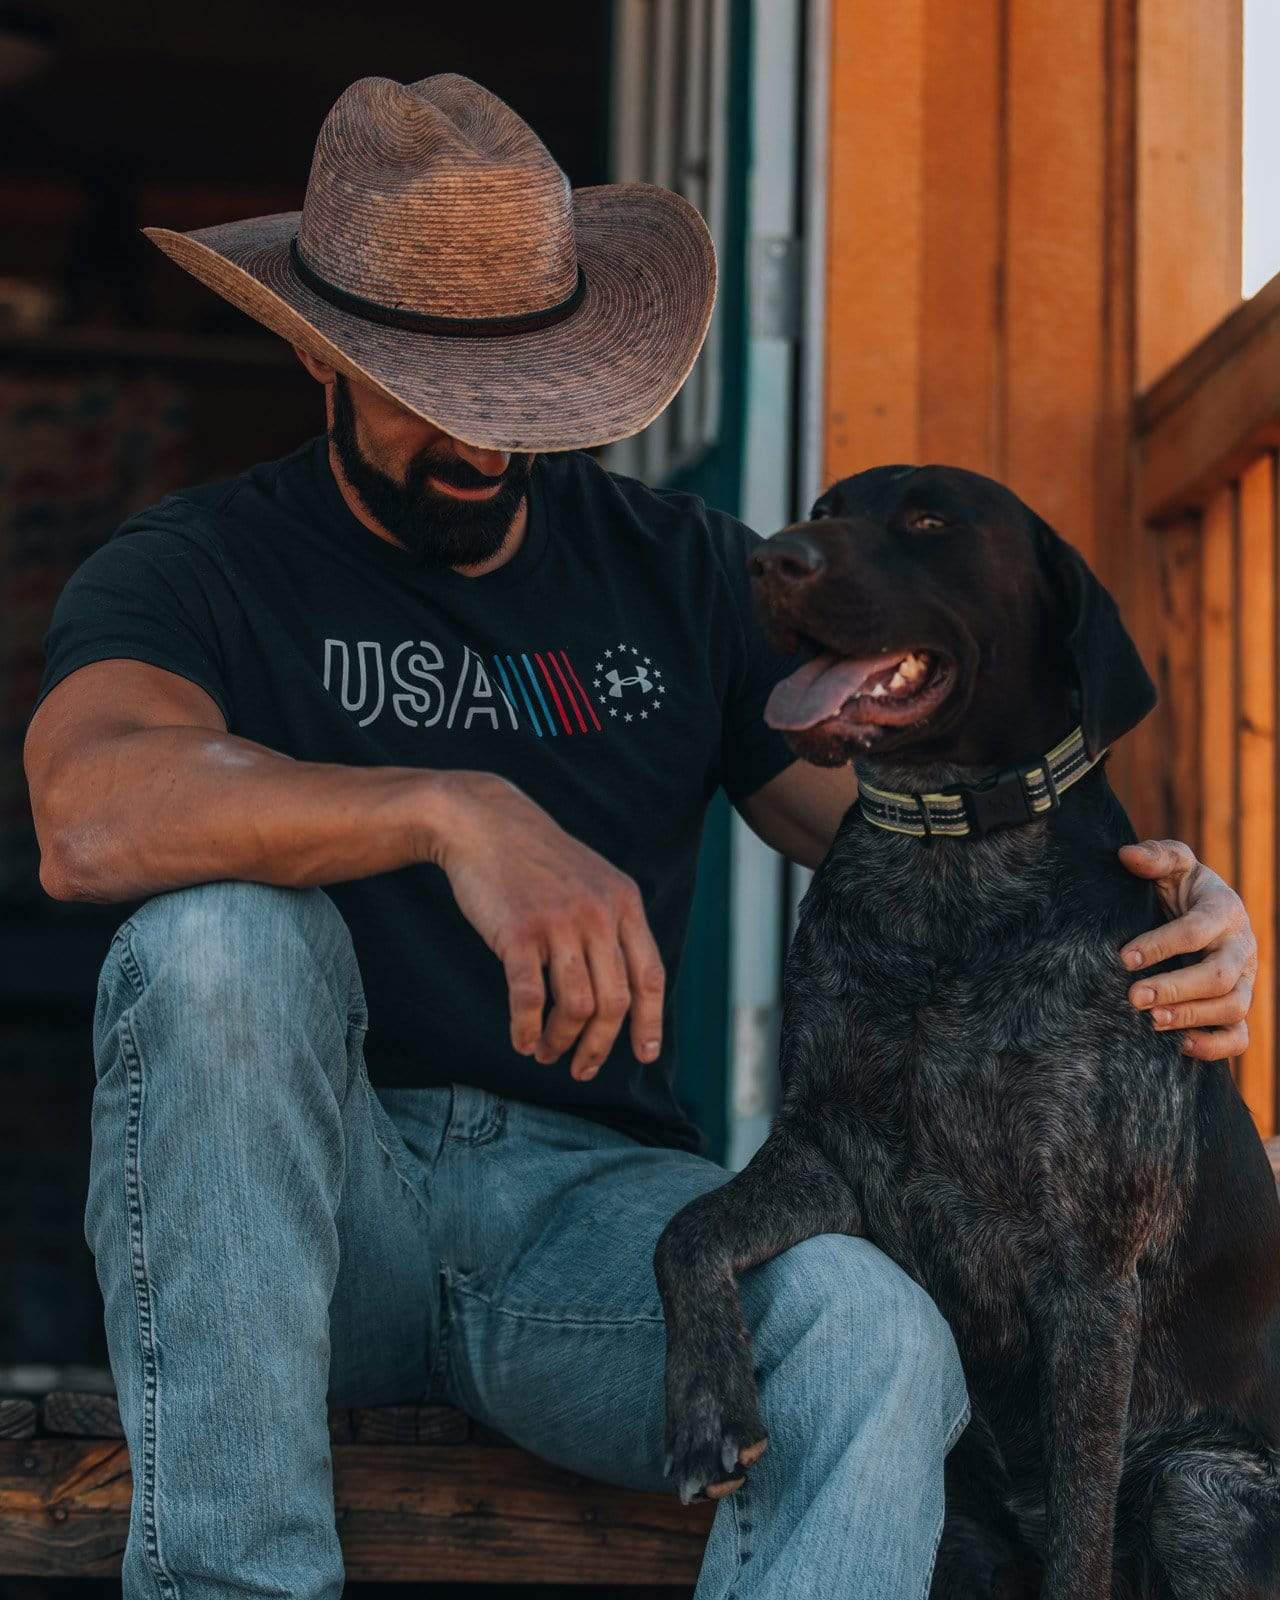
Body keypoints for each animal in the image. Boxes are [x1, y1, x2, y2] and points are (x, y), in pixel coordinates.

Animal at [656, 464, 1280, 1600]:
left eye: (928, 521)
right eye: (823, 506)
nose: (769, 558)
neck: (943, 864)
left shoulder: (1087, 1270)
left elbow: (1079, 1532)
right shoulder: (834, 1160)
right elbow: (687, 1231)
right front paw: (705, 1408)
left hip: (1201, 1490)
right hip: (959, 1529)